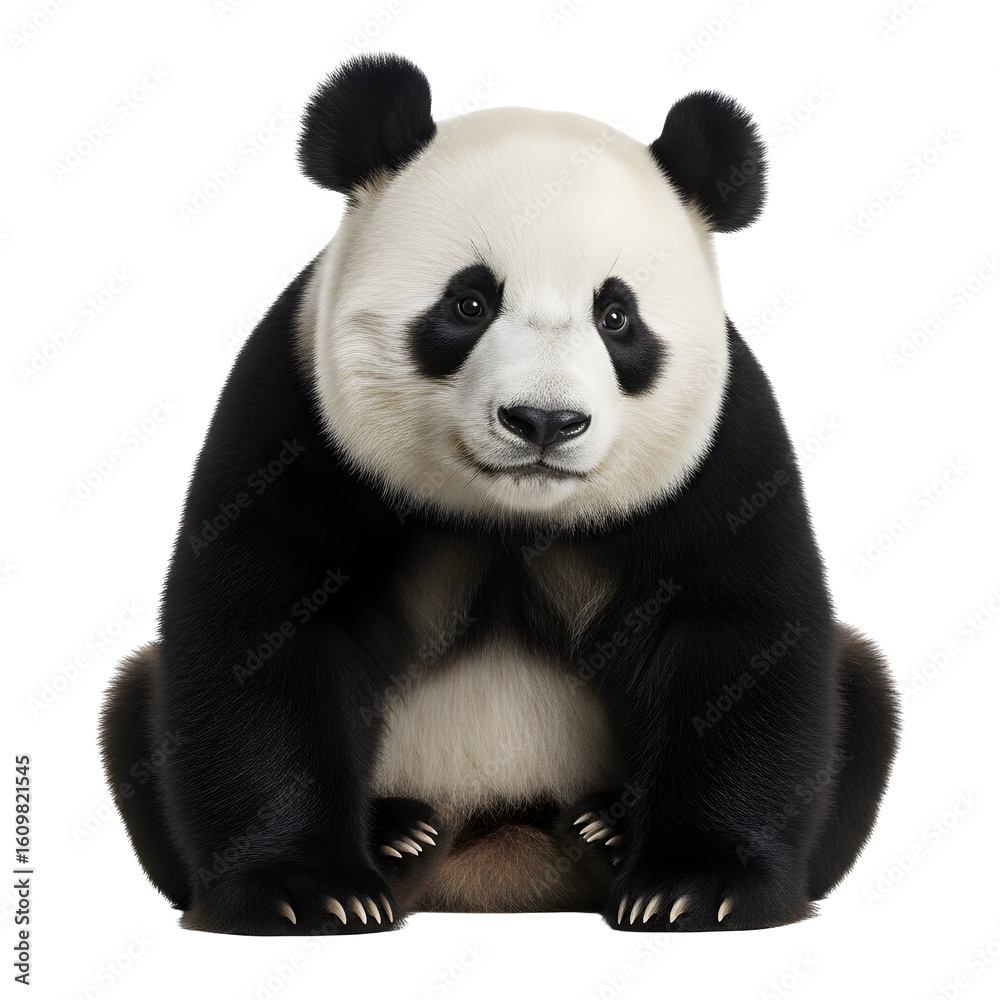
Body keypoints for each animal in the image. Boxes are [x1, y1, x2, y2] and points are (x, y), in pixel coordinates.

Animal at [100, 53, 900, 935]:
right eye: (469, 302)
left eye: (616, 316)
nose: (543, 420)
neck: (510, 519)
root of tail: (499, 861)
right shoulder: (293, 423)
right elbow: (262, 629)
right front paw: (308, 891)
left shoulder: (724, 453)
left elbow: (735, 634)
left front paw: (698, 887)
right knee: (135, 700)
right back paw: (401, 834)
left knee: (862, 687)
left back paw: (603, 828)